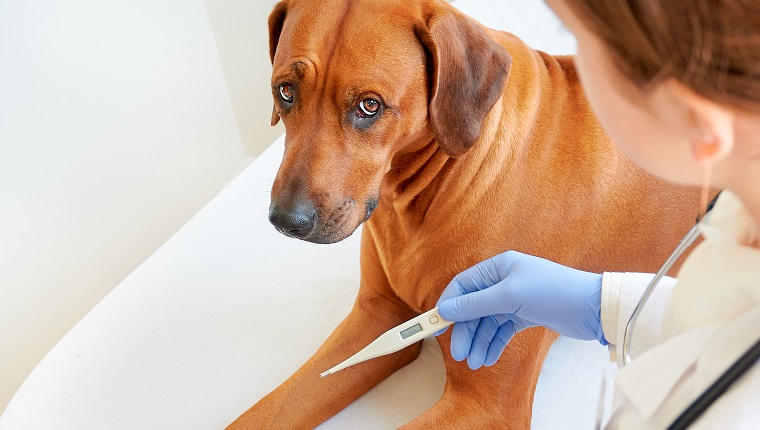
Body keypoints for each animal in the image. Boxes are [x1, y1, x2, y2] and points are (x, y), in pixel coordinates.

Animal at [227, 0, 700, 426]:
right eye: (285, 91)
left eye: (369, 106)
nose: (286, 221)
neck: (435, 191)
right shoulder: (374, 318)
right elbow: (270, 410)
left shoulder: (484, 406)